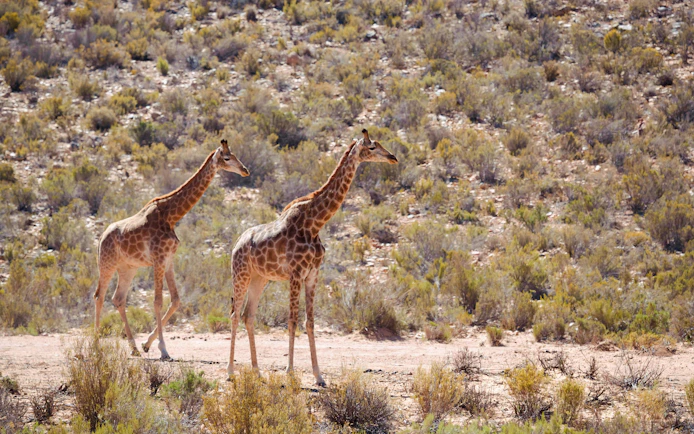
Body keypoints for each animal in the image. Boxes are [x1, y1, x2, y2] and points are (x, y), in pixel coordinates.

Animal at [94, 140, 249, 360]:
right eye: (227, 158)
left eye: (235, 155)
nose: (245, 170)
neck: (172, 216)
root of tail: (101, 238)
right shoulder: (159, 259)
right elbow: (158, 301)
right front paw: (163, 349)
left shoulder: (168, 260)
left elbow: (175, 300)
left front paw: (147, 344)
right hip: (107, 264)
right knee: (99, 297)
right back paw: (96, 346)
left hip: (128, 267)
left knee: (118, 299)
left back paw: (133, 348)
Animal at [228, 129, 397, 385]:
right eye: (371, 148)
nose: (392, 157)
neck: (314, 224)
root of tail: (237, 244)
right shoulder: (296, 274)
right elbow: (292, 320)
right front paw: (290, 372)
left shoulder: (312, 274)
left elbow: (309, 322)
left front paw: (319, 375)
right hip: (241, 274)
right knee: (235, 314)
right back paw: (230, 371)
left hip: (260, 279)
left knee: (249, 316)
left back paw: (257, 371)